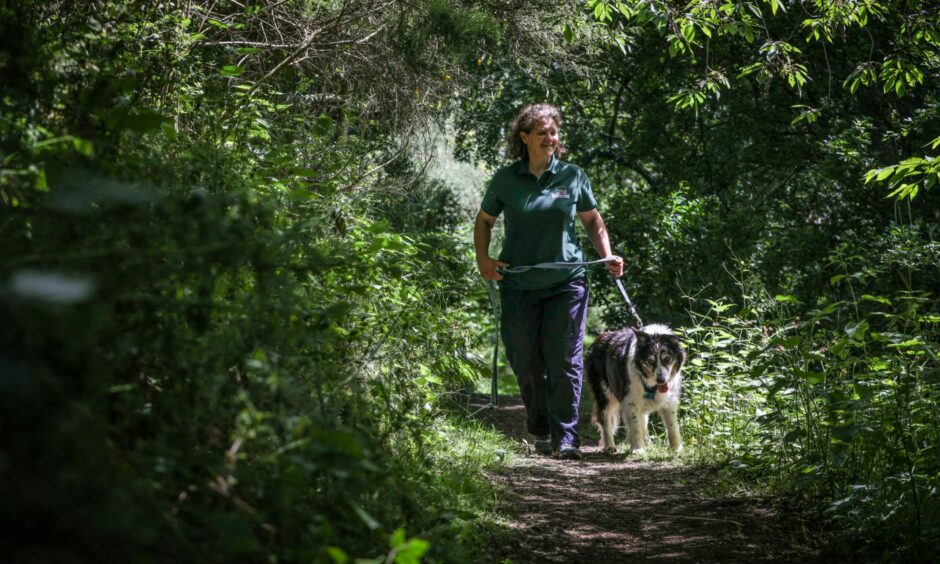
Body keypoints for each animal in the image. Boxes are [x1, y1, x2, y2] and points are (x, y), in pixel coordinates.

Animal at [588, 324, 684, 452]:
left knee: (643, 419)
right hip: (605, 394)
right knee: (605, 418)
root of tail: (599, 338)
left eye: (667, 359)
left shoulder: (669, 400)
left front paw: (676, 448)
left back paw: (648, 443)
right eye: (650, 361)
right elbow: (635, 426)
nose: (661, 380)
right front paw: (638, 449)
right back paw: (610, 446)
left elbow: (672, 426)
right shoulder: (630, 400)